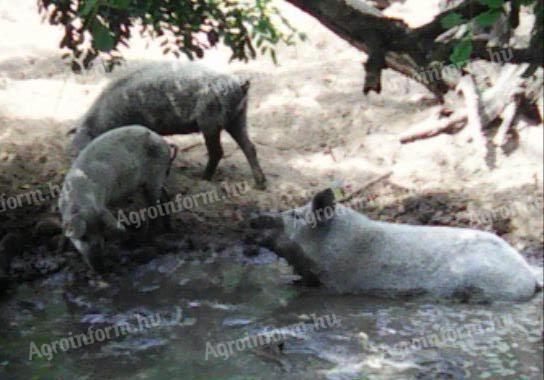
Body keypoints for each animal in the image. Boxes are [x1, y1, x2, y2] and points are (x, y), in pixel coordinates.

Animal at [59, 124, 172, 270]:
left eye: (102, 234)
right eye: (83, 237)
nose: (99, 268)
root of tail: (162, 140)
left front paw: (126, 240)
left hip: (156, 175)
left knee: (154, 204)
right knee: (164, 195)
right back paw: (168, 228)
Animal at [71, 61, 266, 190]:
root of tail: (241, 83)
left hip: (210, 122)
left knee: (217, 151)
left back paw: (203, 178)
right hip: (237, 118)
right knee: (250, 147)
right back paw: (260, 183)